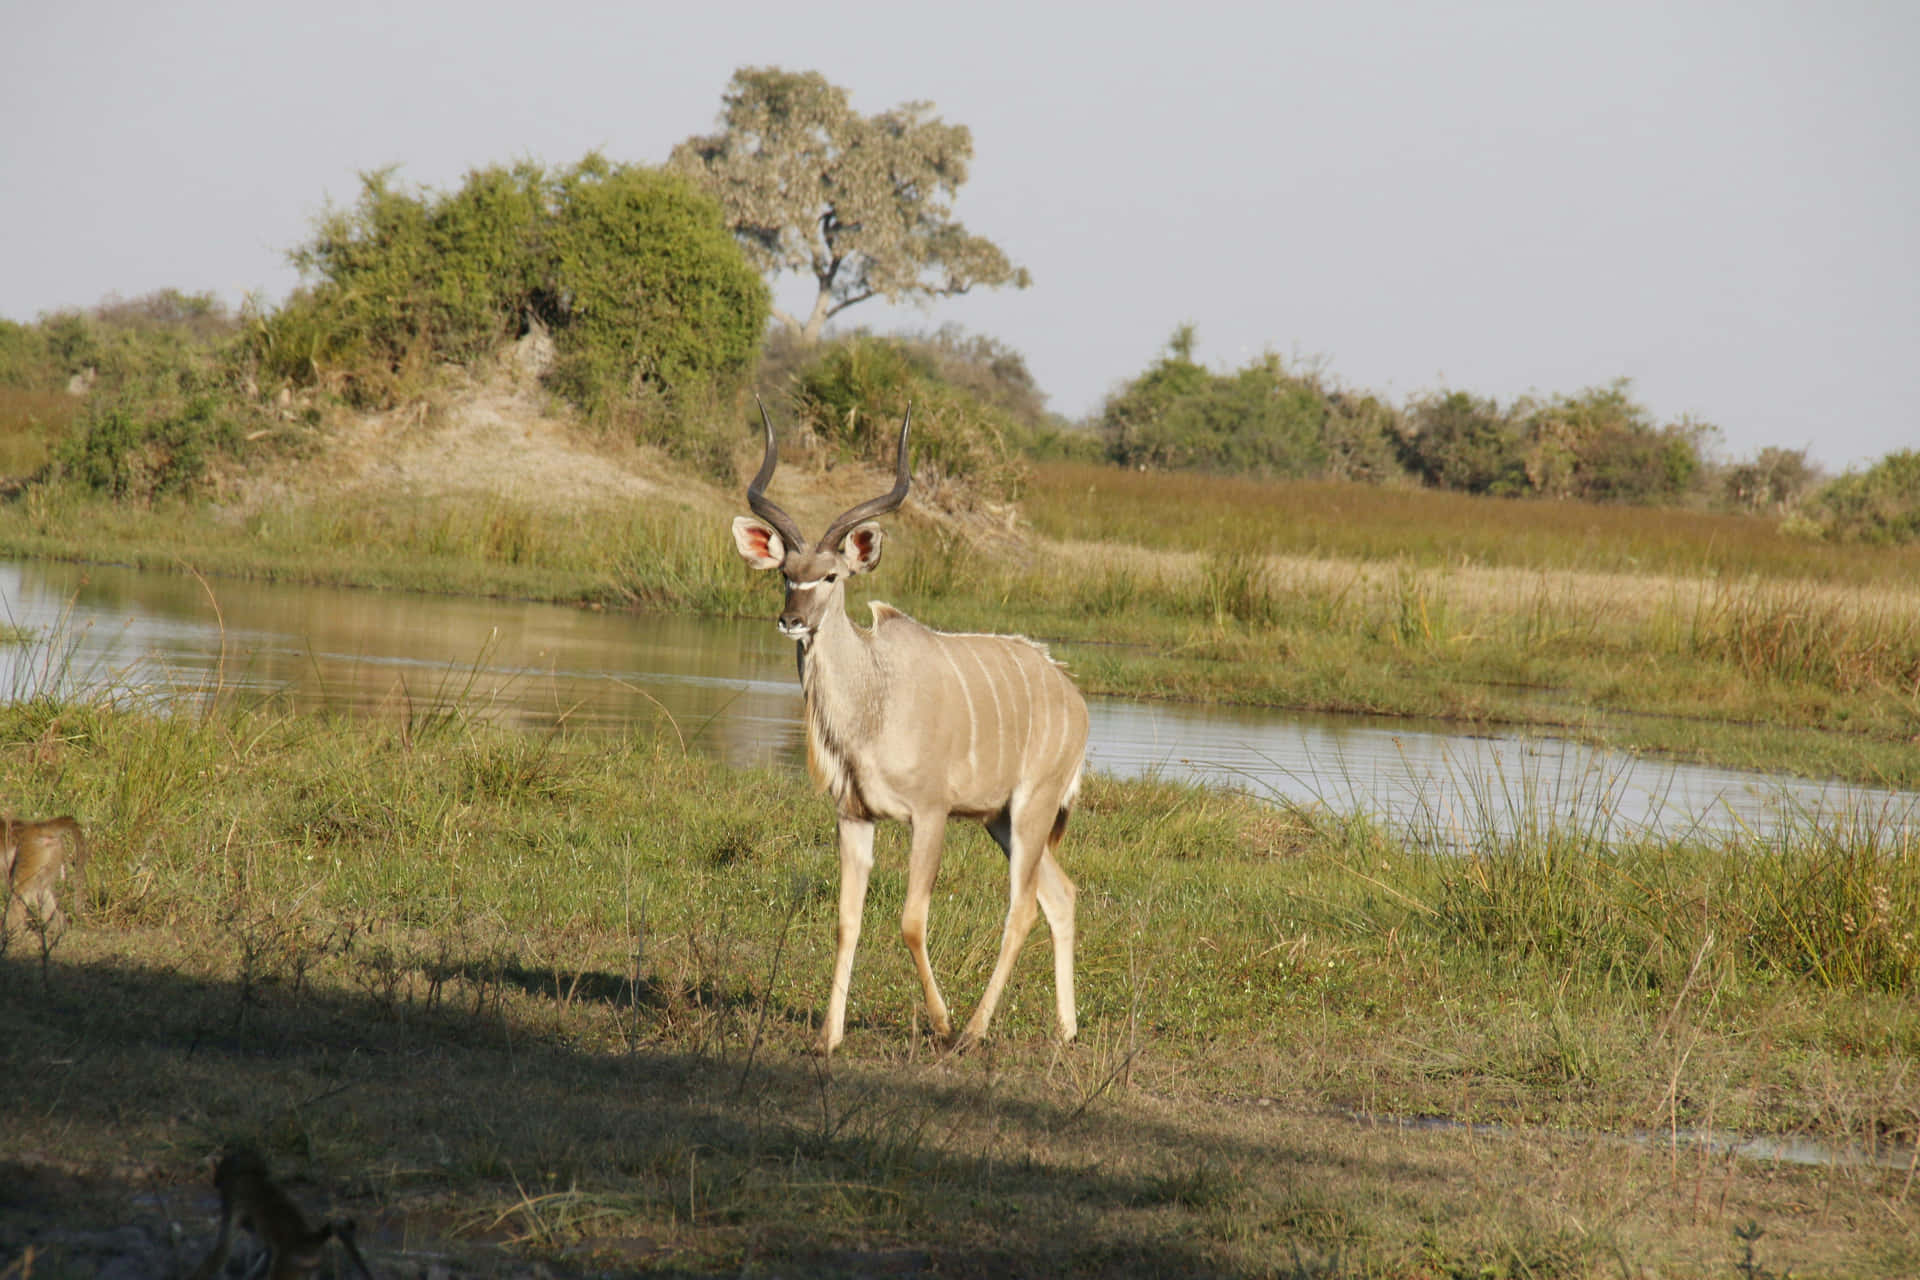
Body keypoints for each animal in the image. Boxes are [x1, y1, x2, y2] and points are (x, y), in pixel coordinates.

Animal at [733, 408, 1090, 1051]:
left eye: (831, 576)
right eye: (785, 575)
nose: (791, 620)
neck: (874, 700)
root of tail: (1073, 698)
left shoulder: (930, 815)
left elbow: (911, 920)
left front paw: (941, 1021)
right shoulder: (854, 816)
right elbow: (847, 920)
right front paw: (828, 1037)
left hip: (1032, 809)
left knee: (1023, 907)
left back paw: (973, 1030)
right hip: (1001, 820)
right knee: (1060, 896)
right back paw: (1066, 1030)